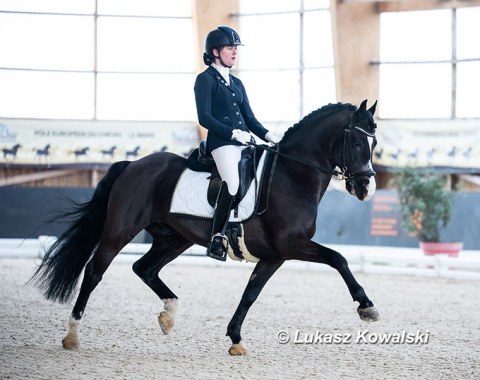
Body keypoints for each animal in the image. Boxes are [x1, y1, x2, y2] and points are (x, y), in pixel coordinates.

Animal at [31, 100, 380, 354]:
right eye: (356, 140)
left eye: (374, 142)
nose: (366, 188)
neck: (292, 176)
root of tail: (133, 165)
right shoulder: (291, 244)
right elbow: (338, 259)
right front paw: (366, 307)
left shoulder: (275, 255)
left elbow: (250, 294)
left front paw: (236, 339)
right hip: (120, 230)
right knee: (94, 272)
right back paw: (72, 336)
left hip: (173, 239)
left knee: (144, 268)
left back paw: (169, 315)